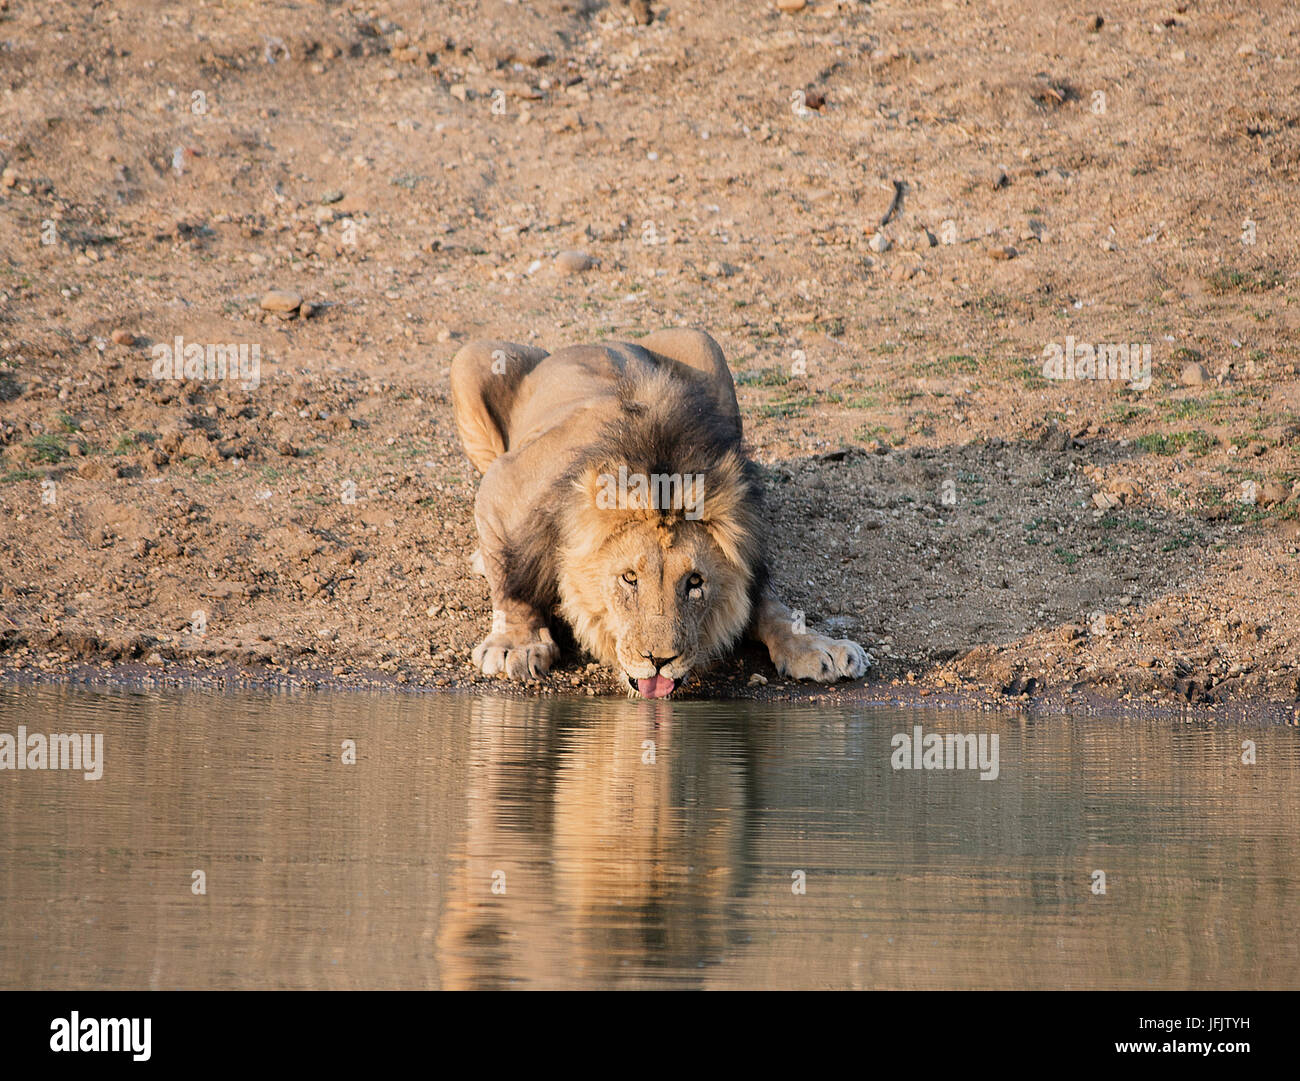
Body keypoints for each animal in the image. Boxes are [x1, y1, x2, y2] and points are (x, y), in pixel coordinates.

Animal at [450, 327, 870, 698]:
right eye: (629, 578)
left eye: (695, 582)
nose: (659, 660)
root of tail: (590, 341)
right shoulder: (504, 486)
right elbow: (511, 580)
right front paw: (514, 645)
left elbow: (769, 604)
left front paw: (818, 646)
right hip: (472, 358)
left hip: (703, 343)